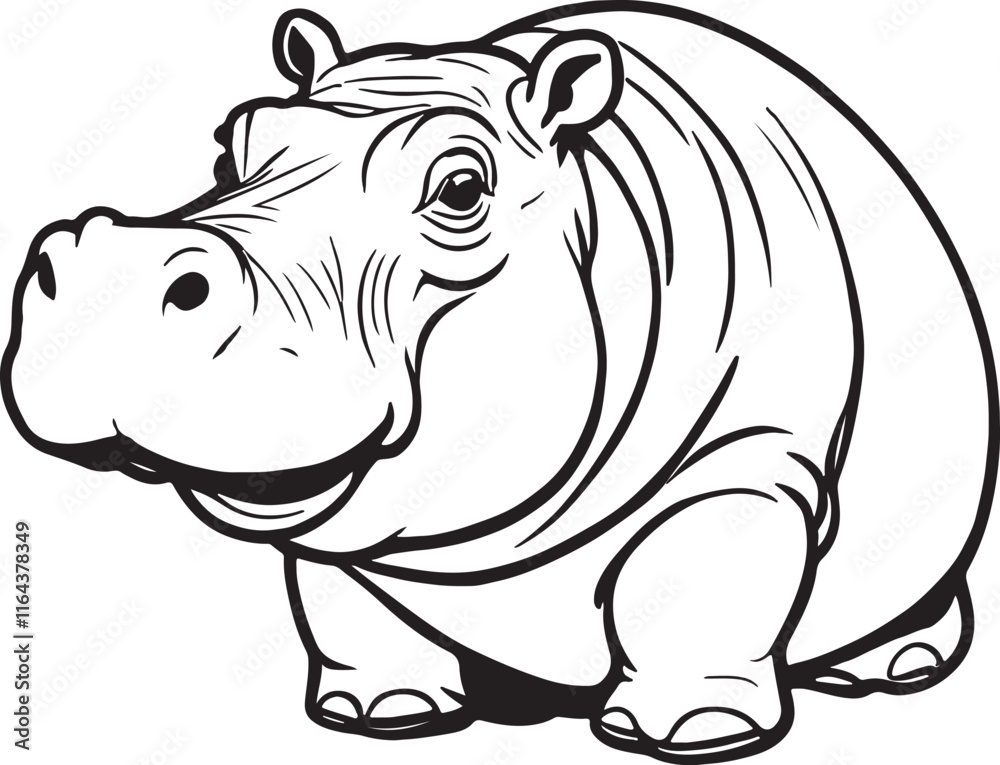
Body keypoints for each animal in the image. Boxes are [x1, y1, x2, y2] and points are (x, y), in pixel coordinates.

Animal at [3, 3, 996, 762]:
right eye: (232, 146)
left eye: (460, 190)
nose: (105, 272)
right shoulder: (344, 525)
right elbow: (338, 593)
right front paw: (378, 714)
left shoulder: (754, 456)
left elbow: (689, 568)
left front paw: (687, 733)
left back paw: (893, 667)